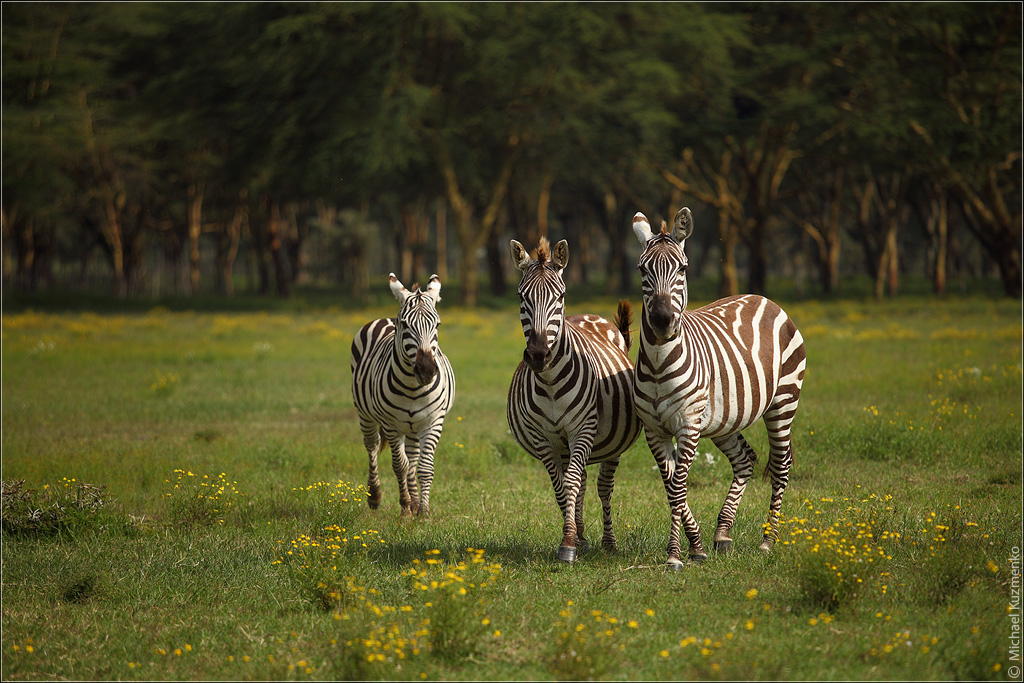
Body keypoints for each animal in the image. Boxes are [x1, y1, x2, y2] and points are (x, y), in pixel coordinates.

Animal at [350, 272, 454, 518]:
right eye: (405, 324)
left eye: (437, 324)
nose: (427, 370)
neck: (414, 389)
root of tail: (386, 318)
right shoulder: (390, 424)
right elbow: (400, 465)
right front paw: (405, 508)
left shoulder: (433, 421)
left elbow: (424, 466)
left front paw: (422, 510)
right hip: (365, 414)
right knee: (372, 445)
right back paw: (375, 496)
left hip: (414, 425)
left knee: (413, 456)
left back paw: (415, 501)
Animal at [503, 237, 638, 565]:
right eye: (521, 296)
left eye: (560, 295)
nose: (539, 354)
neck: (550, 382)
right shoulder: (545, 438)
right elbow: (562, 488)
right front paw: (572, 538)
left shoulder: (582, 430)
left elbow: (574, 483)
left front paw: (567, 544)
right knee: (584, 482)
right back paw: (583, 536)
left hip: (610, 443)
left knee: (603, 487)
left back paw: (608, 542)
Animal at [630, 205, 806, 569]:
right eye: (642, 269)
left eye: (682, 268)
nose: (663, 321)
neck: (658, 363)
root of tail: (763, 298)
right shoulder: (653, 430)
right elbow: (671, 487)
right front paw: (695, 546)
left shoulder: (688, 425)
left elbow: (679, 487)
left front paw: (675, 555)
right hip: (725, 418)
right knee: (745, 459)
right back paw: (722, 534)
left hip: (783, 401)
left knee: (780, 464)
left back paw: (768, 541)